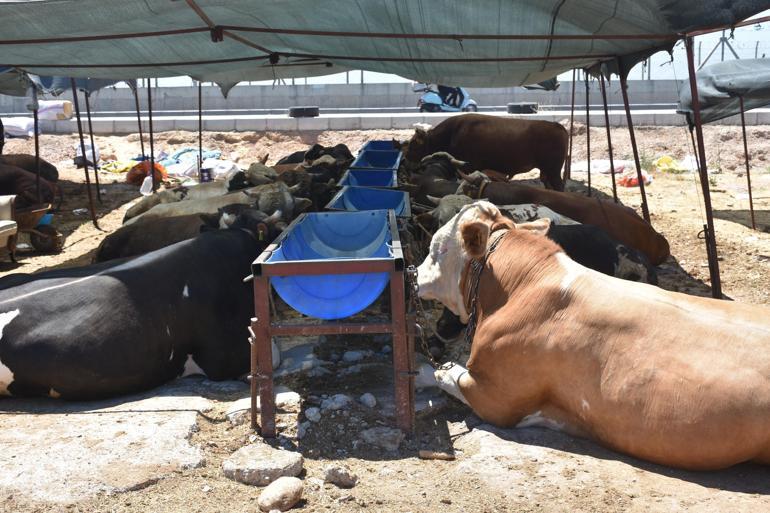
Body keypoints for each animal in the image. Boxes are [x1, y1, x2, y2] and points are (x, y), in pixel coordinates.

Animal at [404, 113, 568, 191]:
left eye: (413, 145)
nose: (405, 160)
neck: (453, 133)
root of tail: (557, 126)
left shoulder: (468, 166)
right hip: (546, 171)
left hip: (553, 170)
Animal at [416, 200, 770, 468]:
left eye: (438, 248)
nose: (415, 273)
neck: (522, 285)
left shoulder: (495, 396)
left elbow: (444, 372)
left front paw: (421, 369)